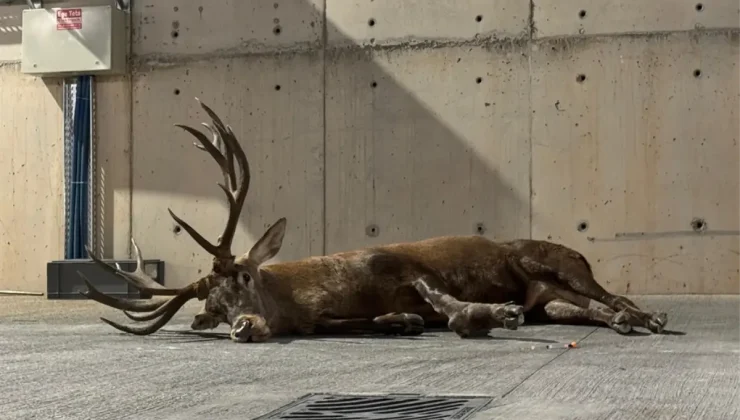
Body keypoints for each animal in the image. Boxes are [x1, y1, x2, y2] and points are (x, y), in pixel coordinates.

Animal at [78, 100, 668, 342]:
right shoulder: (329, 315)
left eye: (244, 277)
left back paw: (650, 317)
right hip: (551, 298)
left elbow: (444, 302)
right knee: (588, 308)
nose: (242, 327)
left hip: (553, 262)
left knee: (613, 294)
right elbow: (369, 320)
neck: (320, 293)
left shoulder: (402, 264)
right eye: (214, 311)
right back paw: (621, 322)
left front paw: (492, 314)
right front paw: (401, 321)